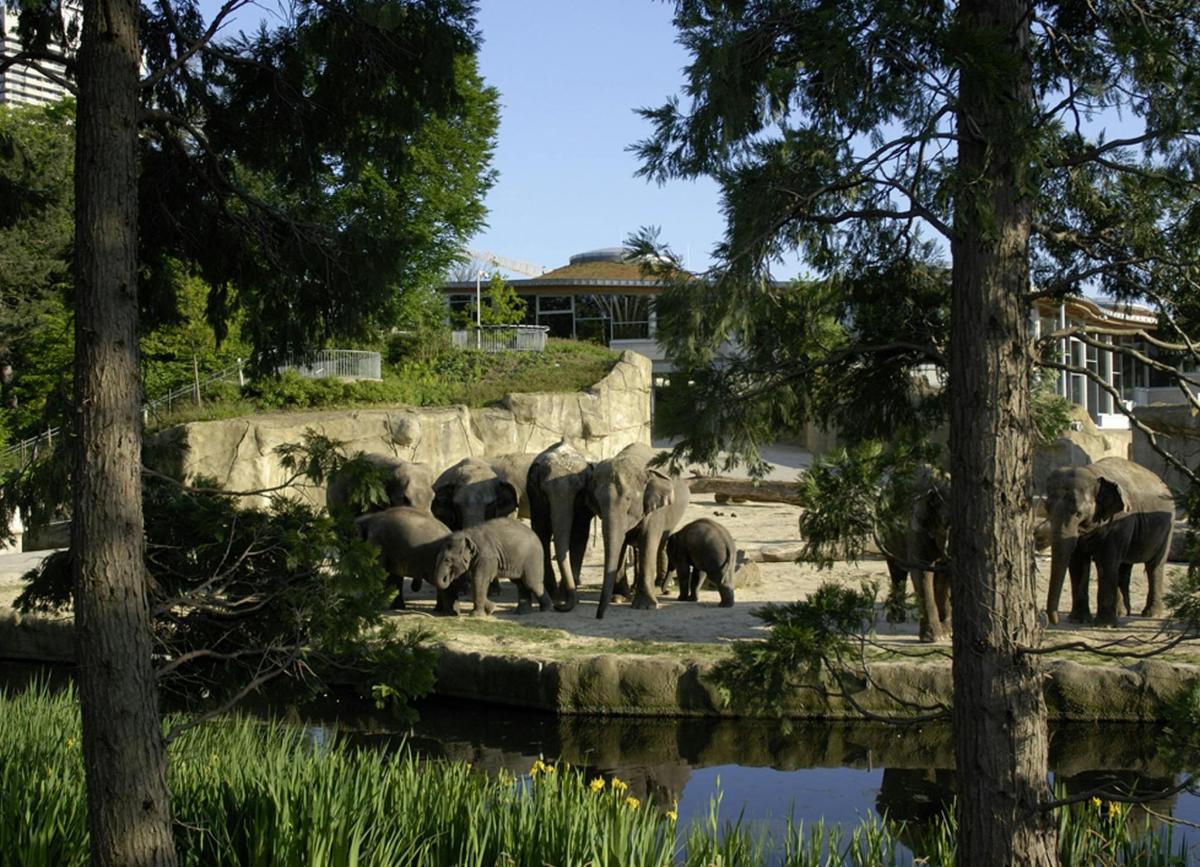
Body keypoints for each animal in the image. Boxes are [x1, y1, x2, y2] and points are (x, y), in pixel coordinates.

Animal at [528, 441, 597, 612]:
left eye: (578, 493)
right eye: (545, 493)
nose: (559, 606)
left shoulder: (584, 505)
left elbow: (579, 535)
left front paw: (566, 597)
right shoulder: (535, 498)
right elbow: (541, 533)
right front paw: (554, 595)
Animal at [588, 441, 691, 619]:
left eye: (628, 499)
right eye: (597, 501)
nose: (599, 617)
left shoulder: (655, 510)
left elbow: (648, 542)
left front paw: (645, 606)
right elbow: (620, 545)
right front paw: (619, 598)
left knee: (661, 544)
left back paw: (661, 587)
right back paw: (635, 588)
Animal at [1046, 456, 1166, 624]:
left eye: (1078, 513)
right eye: (1047, 509)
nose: (1054, 621)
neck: (1093, 472)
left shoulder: (1119, 521)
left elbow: (1106, 561)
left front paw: (1104, 625)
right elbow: (1078, 563)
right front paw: (1079, 620)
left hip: (1166, 528)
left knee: (1154, 566)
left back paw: (1151, 614)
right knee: (1123, 566)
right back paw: (1121, 612)